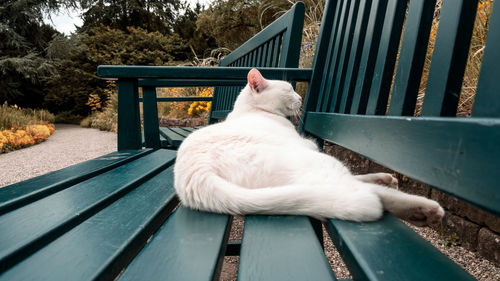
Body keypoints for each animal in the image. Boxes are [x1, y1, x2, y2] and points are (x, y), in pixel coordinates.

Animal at [174, 68, 444, 225]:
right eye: (289, 89)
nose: (301, 97)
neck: (251, 110)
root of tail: (194, 175)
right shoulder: (309, 146)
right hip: (320, 163)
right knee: (365, 192)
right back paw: (423, 210)